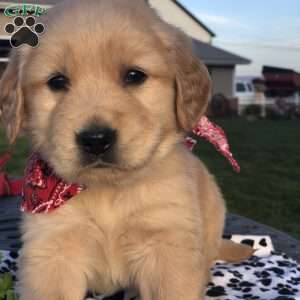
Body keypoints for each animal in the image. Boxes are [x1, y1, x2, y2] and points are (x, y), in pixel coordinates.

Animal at [0, 0, 251, 300]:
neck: (109, 192)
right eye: (57, 82)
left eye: (134, 76)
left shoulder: (167, 246)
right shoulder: (53, 250)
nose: (96, 139)